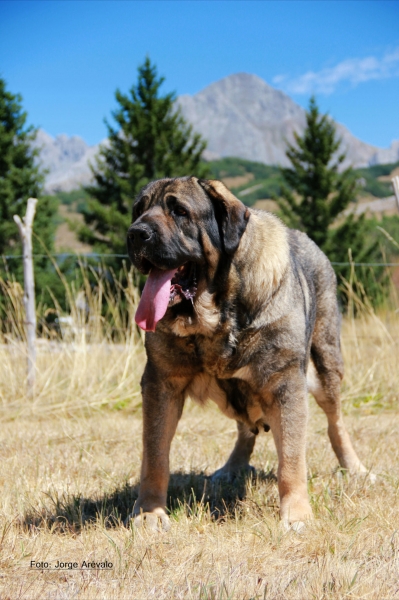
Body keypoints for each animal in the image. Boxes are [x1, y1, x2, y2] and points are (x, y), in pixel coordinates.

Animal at [128, 177, 372, 528]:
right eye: (138, 210)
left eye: (180, 211)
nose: (136, 234)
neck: (218, 314)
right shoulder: (161, 383)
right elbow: (155, 451)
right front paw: (149, 512)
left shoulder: (287, 382)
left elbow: (292, 458)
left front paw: (297, 514)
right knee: (246, 426)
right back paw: (233, 467)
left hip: (326, 362)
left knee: (335, 421)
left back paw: (354, 468)